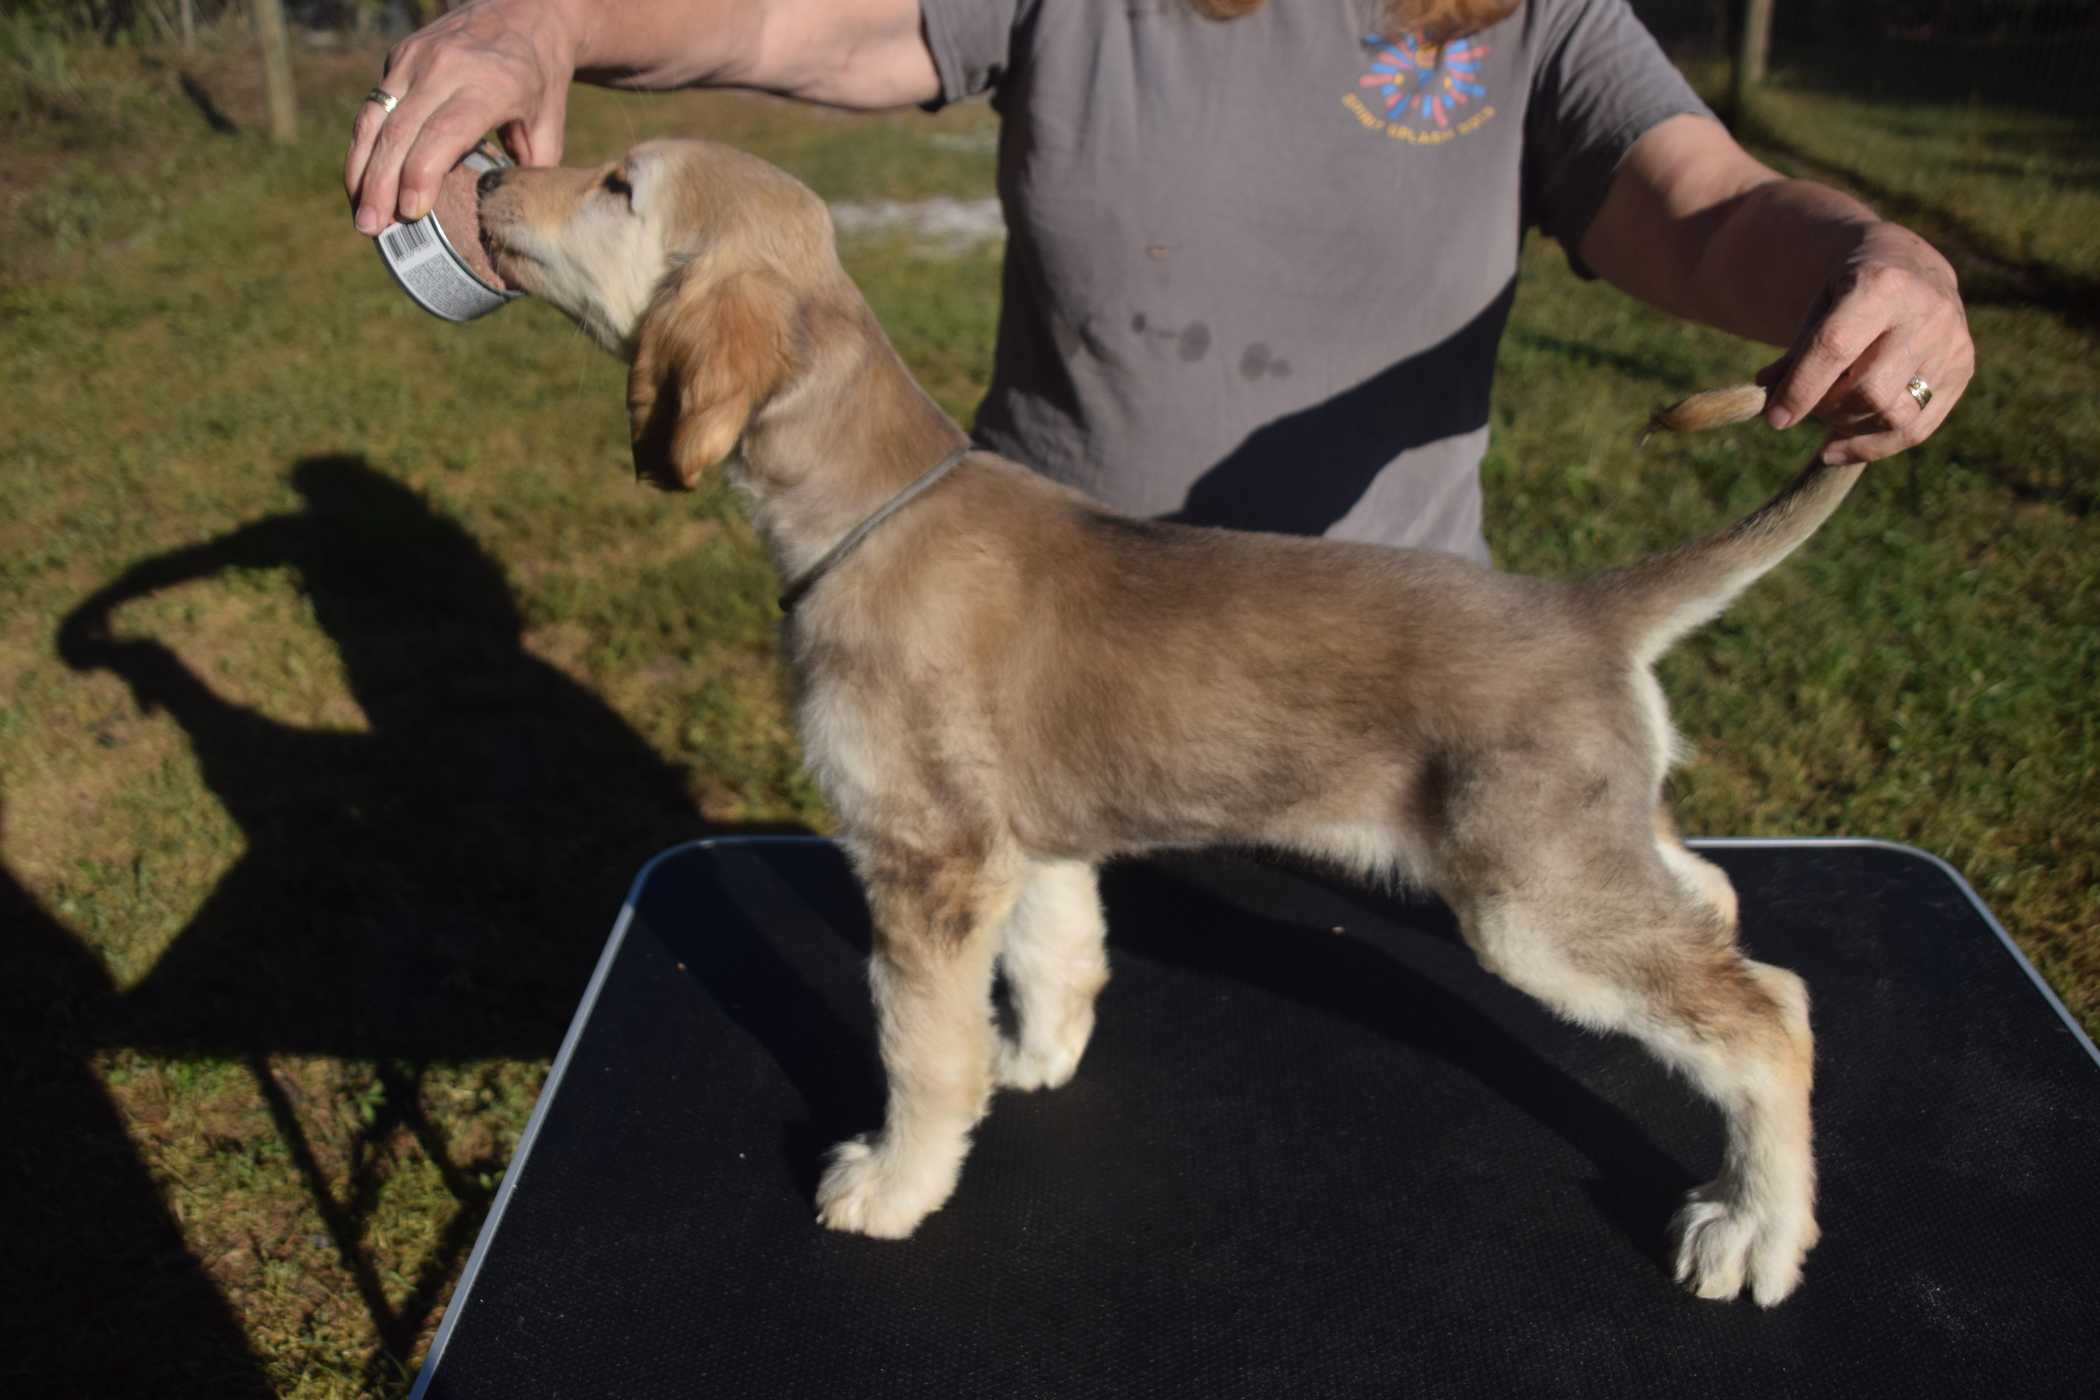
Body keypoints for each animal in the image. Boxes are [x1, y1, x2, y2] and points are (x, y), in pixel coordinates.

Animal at [479, 138, 1860, 1306]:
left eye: (616, 183)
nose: (489, 173)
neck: (873, 504)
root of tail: (1585, 608)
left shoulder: (923, 858)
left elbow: (916, 1046)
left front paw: (896, 1179)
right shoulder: (1023, 842)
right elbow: (1053, 955)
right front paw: (1031, 1058)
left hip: (1530, 903)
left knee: (1772, 1012)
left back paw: (1756, 1223)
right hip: (1591, 849)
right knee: (1716, 910)